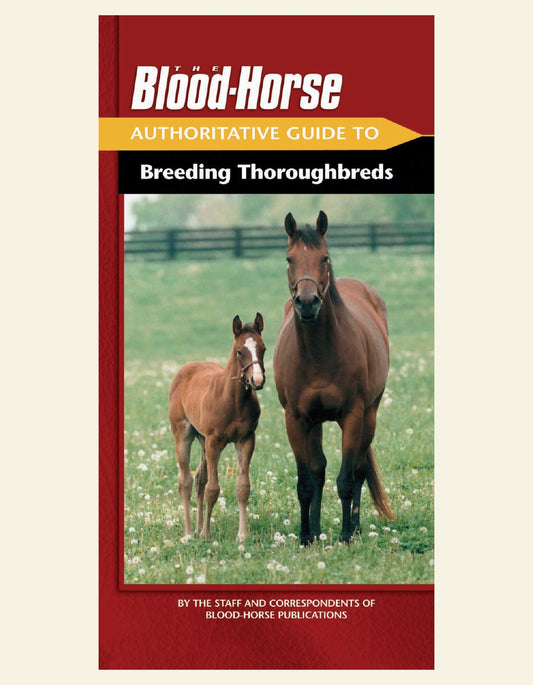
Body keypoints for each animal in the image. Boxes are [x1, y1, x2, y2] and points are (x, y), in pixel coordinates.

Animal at [169, 313, 266, 541]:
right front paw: (206, 533)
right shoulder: (214, 442)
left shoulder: (246, 439)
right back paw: (189, 533)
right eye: (239, 351)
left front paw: (242, 535)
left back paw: (196, 528)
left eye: (263, 349)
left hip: (202, 439)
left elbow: (243, 487)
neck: (233, 400)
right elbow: (213, 489)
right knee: (185, 481)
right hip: (183, 433)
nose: (257, 380)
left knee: (199, 478)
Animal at [273, 212, 393, 544]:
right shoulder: (296, 420)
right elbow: (307, 480)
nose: (307, 302)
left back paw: (356, 527)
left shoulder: (352, 416)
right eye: (289, 259)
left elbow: (346, 479)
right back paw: (316, 531)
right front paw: (305, 537)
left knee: (360, 470)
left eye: (324, 257)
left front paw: (345, 536)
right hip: (314, 423)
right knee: (318, 471)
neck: (319, 355)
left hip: (370, 415)